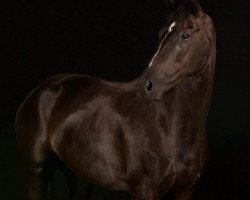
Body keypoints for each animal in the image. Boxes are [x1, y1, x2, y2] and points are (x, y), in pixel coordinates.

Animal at [15, 0, 216, 199]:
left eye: (185, 35)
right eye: (161, 34)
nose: (147, 85)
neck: (171, 129)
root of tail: (39, 92)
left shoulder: (185, 190)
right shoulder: (144, 188)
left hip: (78, 176)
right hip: (37, 171)